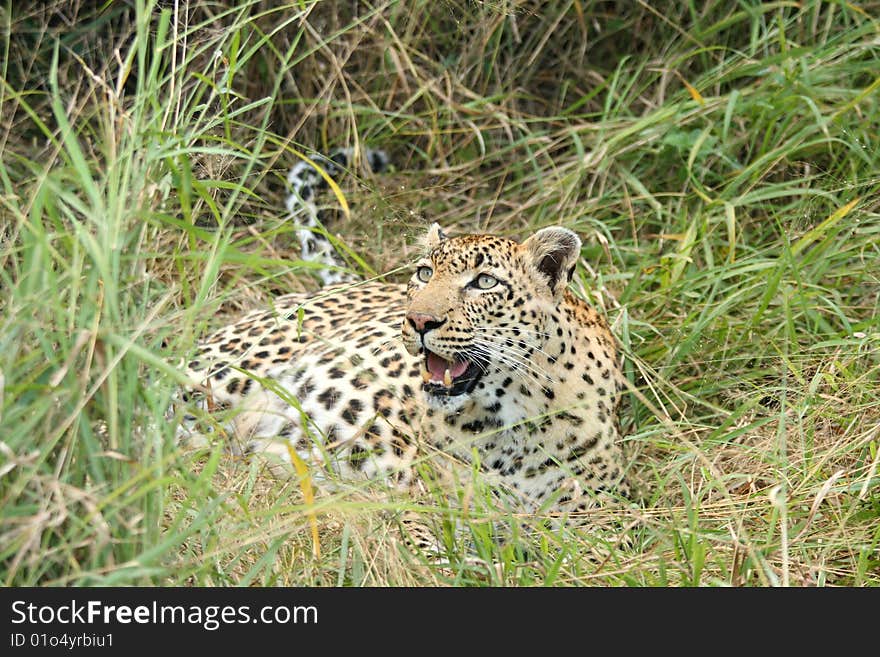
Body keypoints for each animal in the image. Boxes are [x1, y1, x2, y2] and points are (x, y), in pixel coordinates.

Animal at [179, 220, 632, 524]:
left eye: (485, 282)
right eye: (425, 273)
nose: (418, 320)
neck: (509, 422)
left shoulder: (602, 518)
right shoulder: (422, 498)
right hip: (225, 373)